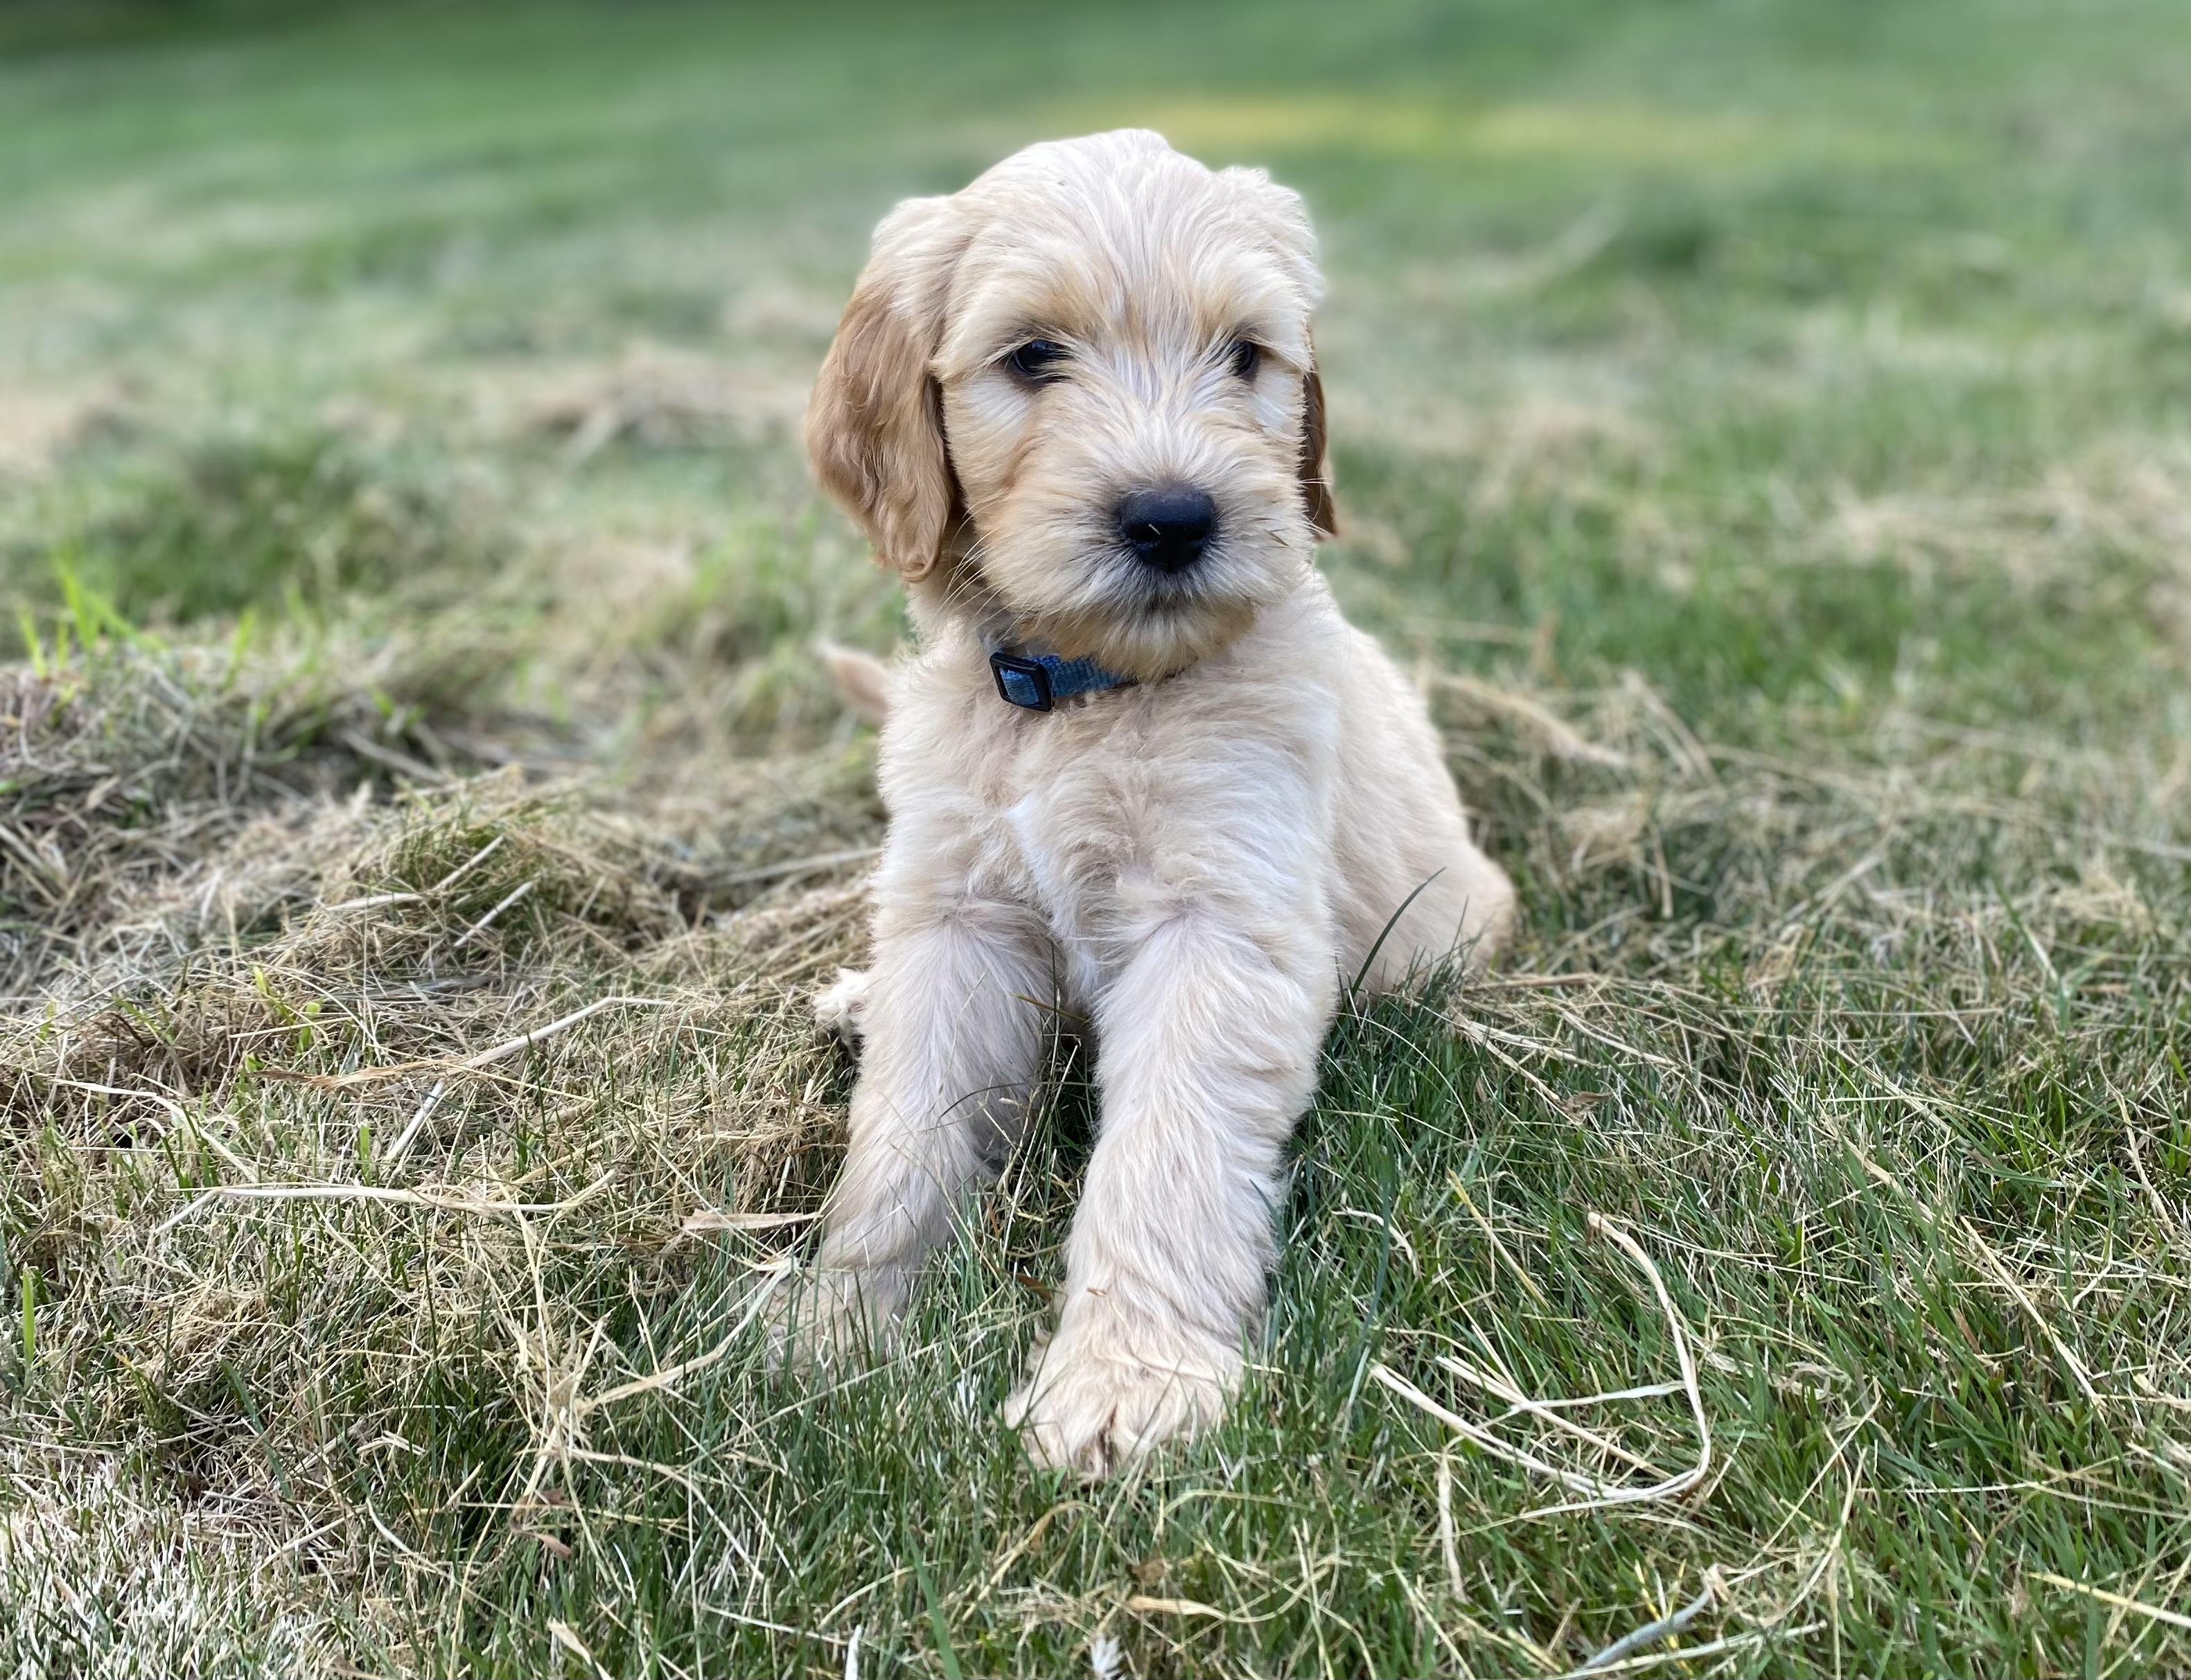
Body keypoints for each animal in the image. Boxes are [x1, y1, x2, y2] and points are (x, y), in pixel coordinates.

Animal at [780, 129, 1515, 1480]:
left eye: (1245, 355)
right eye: (1032, 356)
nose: (1173, 518)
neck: (1079, 695)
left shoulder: (1217, 921)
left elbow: (1163, 1154)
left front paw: (1127, 1383)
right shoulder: (955, 911)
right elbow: (903, 1137)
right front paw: (840, 1326)